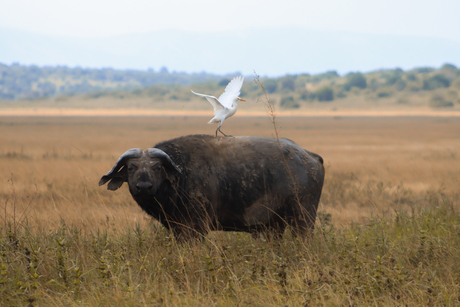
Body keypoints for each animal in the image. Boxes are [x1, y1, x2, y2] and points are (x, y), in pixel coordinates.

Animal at [99, 135, 326, 241]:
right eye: (131, 168)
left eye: (156, 167)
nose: (144, 186)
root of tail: (310, 156)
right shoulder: (178, 229)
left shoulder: (196, 227)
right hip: (275, 225)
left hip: (302, 218)